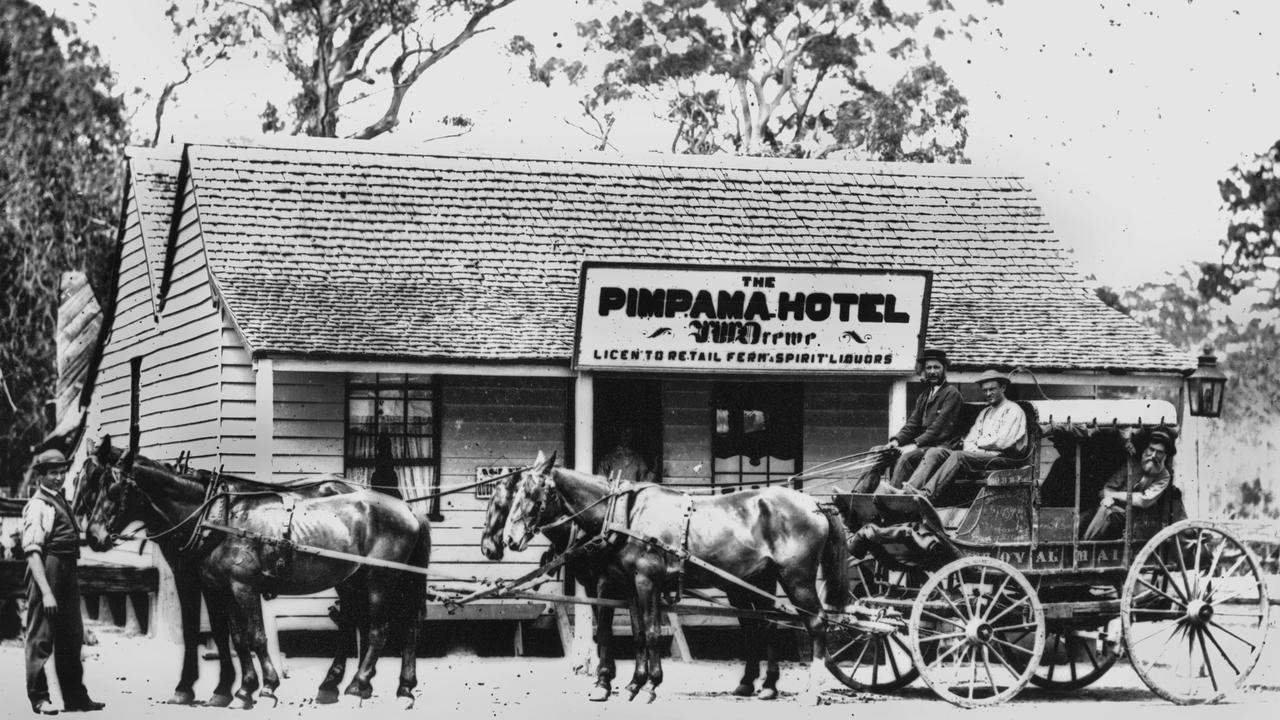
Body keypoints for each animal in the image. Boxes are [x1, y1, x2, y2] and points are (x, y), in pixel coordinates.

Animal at [80, 435, 430, 702]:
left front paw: (263, 686)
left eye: (112, 489)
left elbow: (253, 636)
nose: (92, 536)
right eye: (91, 483)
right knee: (393, 625)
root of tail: (408, 508)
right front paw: (236, 688)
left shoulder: (240, 585)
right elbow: (233, 636)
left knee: (380, 630)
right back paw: (384, 686)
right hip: (357, 579)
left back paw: (360, 684)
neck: (213, 518)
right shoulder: (217, 584)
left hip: (382, 579)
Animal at [501, 448, 849, 702]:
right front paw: (633, 683)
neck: (624, 515)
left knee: (816, 622)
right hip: (757, 581)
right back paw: (762, 685)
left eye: (532, 493)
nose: (509, 539)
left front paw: (645, 685)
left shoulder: (643, 581)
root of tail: (814, 504)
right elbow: (639, 633)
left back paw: (814, 686)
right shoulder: (629, 585)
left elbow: (650, 631)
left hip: (796, 578)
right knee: (763, 624)